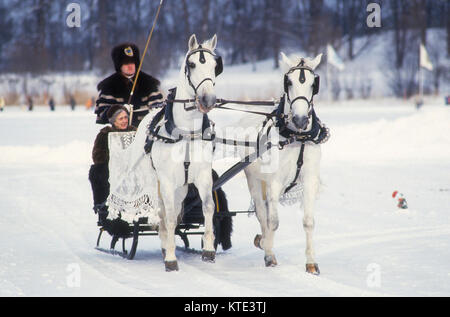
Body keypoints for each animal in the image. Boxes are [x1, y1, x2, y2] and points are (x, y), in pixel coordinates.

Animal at [143, 34, 222, 270]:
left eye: (215, 66)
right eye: (192, 64)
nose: (208, 100)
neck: (186, 133)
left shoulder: (203, 176)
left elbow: (208, 207)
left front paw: (208, 250)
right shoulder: (167, 181)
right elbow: (168, 216)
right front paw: (170, 258)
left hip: (181, 188)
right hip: (157, 183)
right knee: (162, 213)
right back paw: (165, 246)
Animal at [244, 52, 326, 274]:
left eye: (313, 83)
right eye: (288, 82)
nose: (300, 119)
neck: (297, 137)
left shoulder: (310, 180)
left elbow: (308, 221)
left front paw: (311, 263)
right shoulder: (274, 182)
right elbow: (273, 221)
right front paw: (269, 254)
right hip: (254, 180)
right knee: (262, 214)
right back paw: (264, 242)